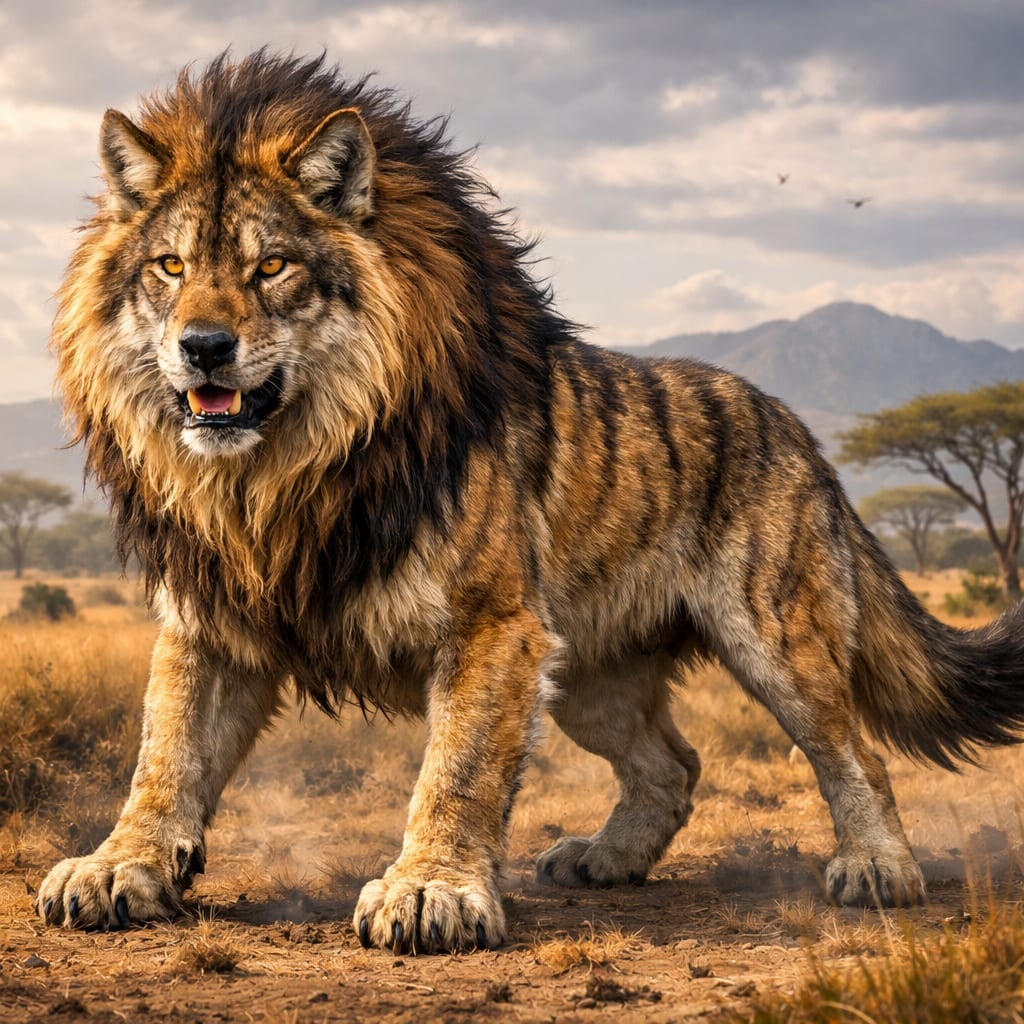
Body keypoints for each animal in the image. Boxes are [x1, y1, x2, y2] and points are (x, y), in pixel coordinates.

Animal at [36, 51, 1024, 952]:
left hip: (776, 639)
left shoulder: (494, 623)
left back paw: (878, 869)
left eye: (272, 265)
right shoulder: (209, 618)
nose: (203, 347)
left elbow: (458, 766)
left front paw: (429, 890)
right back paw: (605, 859)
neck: (272, 478)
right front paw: (118, 866)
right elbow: (165, 753)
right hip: (585, 672)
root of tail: (795, 428)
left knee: (854, 752)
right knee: (673, 764)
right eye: (170, 266)